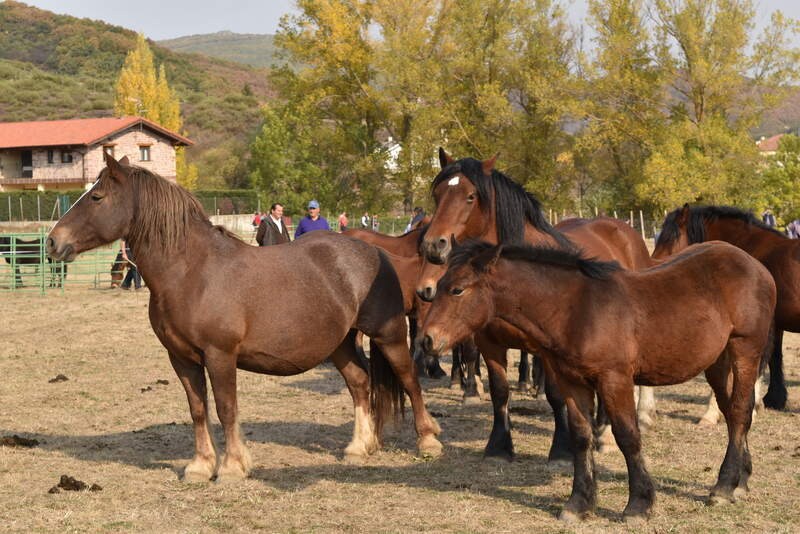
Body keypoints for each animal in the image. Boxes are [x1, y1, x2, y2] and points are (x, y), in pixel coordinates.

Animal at [46, 153, 444, 484]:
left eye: (97, 197)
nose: (52, 242)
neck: (192, 273)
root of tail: (376, 253)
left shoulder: (220, 355)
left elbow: (226, 408)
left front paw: (232, 467)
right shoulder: (181, 358)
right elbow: (198, 409)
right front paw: (200, 466)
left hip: (388, 335)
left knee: (409, 380)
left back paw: (428, 442)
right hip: (340, 343)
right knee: (360, 384)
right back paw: (359, 448)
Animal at [416, 150, 652, 464]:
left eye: (470, 196)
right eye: (438, 194)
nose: (434, 245)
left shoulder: (547, 350)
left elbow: (555, 394)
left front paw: (562, 448)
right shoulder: (489, 343)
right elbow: (500, 392)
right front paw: (499, 446)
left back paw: (608, 432)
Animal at [422, 242, 780, 524]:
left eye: (457, 289)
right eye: (440, 286)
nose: (427, 340)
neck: (576, 310)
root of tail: (757, 266)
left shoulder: (614, 379)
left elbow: (628, 436)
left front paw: (638, 505)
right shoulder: (573, 383)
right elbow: (581, 437)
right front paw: (579, 504)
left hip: (745, 350)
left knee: (740, 411)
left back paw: (724, 486)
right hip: (716, 363)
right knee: (731, 412)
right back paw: (741, 479)